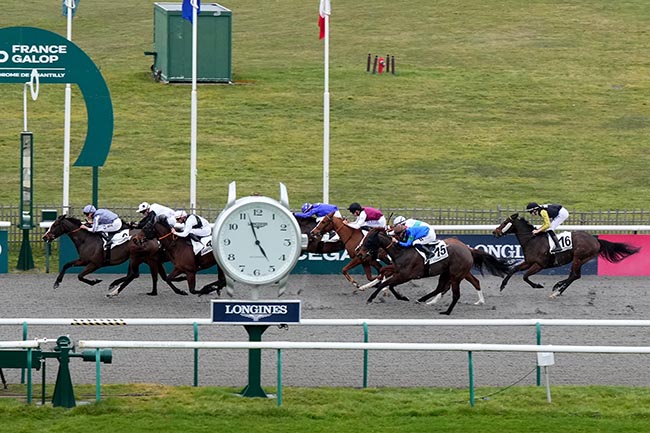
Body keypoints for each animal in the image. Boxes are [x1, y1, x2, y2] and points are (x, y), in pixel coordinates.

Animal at [41, 213, 171, 294]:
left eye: (55, 225)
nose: (44, 237)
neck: (86, 239)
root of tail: (154, 238)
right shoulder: (83, 260)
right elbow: (66, 265)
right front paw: (57, 282)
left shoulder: (95, 264)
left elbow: (80, 276)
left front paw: (95, 281)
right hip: (138, 258)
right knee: (135, 274)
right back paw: (115, 284)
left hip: (137, 257)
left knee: (134, 274)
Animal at [356, 230, 508, 314]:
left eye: (368, 240)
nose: (359, 253)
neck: (402, 251)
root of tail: (468, 249)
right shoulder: (398, 271)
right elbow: (386, 276)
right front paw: (401, 296)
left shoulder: (406, 275)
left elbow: (387, 283)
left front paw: (371, 298)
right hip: (450, 273)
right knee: (445, 287)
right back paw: (425, 300)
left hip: (456, 274)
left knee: (448, 288)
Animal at [492, 213, 636, 296]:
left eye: (504, 223)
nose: (495, 232)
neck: (532, 240)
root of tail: (596, 240)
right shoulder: (528, 262)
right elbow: (513, 269)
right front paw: (502, 285)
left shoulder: (539, 265)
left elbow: (525, 276)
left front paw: (538, 285)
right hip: (580, 259)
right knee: (575, 275)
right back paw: (559, 287)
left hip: (578, 258)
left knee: (574, 275)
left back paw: (558, 289)